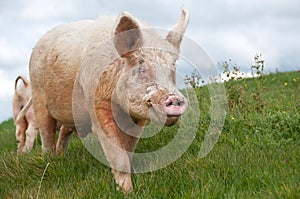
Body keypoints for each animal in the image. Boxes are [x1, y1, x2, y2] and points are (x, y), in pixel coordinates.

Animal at [29, 7, 190, 191]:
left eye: (172, 68)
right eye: (141, 68)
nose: (175, 99)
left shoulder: (137, 119)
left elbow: (128, 149)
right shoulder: (96, 103)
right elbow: (117, 154)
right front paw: (127, 191)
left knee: (64, 131)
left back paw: (60, 157)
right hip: (38, 95)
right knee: (46, 132)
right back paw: (50, 160)